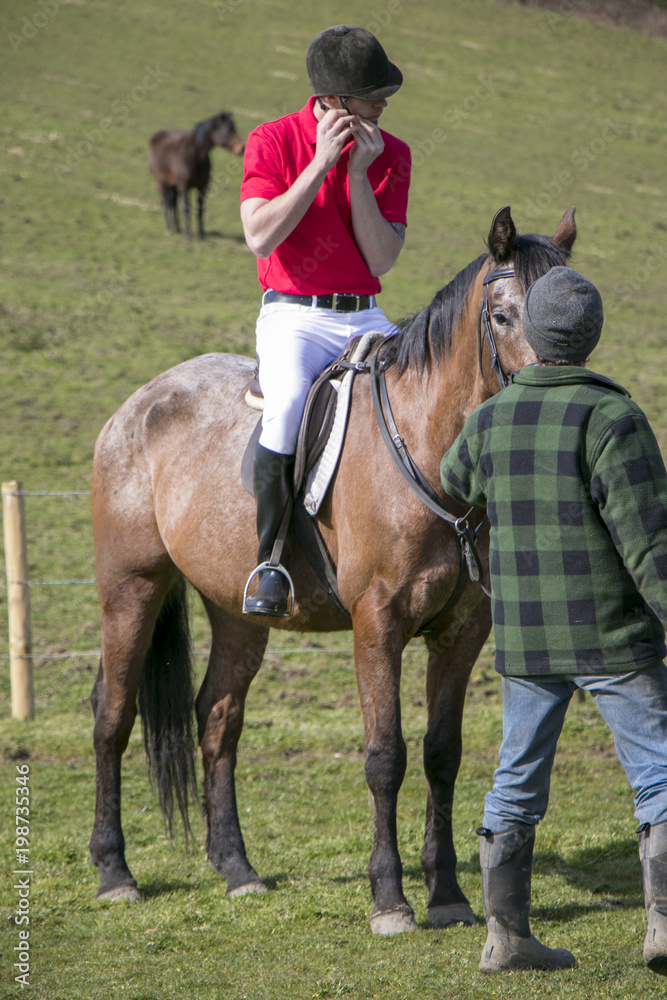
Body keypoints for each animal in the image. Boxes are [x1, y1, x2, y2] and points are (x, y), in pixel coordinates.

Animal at [90, 205, 577, 935]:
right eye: (502, 316)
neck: (428, 449)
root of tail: (140, 403)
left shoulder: (461, 632)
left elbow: (441, 755)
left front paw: (447, 895)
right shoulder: (378, 625)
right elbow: (384, 757)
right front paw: (390, 899)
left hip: (236, 612)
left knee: (218, 718)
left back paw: (236, 868)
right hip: (131, 589)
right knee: (113, 714)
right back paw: (114, 872)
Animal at [148, 111, 244, 240]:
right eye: (227, 129)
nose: (241, 148)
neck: (194, 156)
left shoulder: (203, 186)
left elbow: (200, 209)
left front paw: (201, 234)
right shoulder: (184, 186)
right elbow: (186, 208)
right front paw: (188, 235)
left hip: (173, 184)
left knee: (173, 203)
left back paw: (177, 228)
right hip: (161, 182)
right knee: (165, 202)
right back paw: (168, 228)